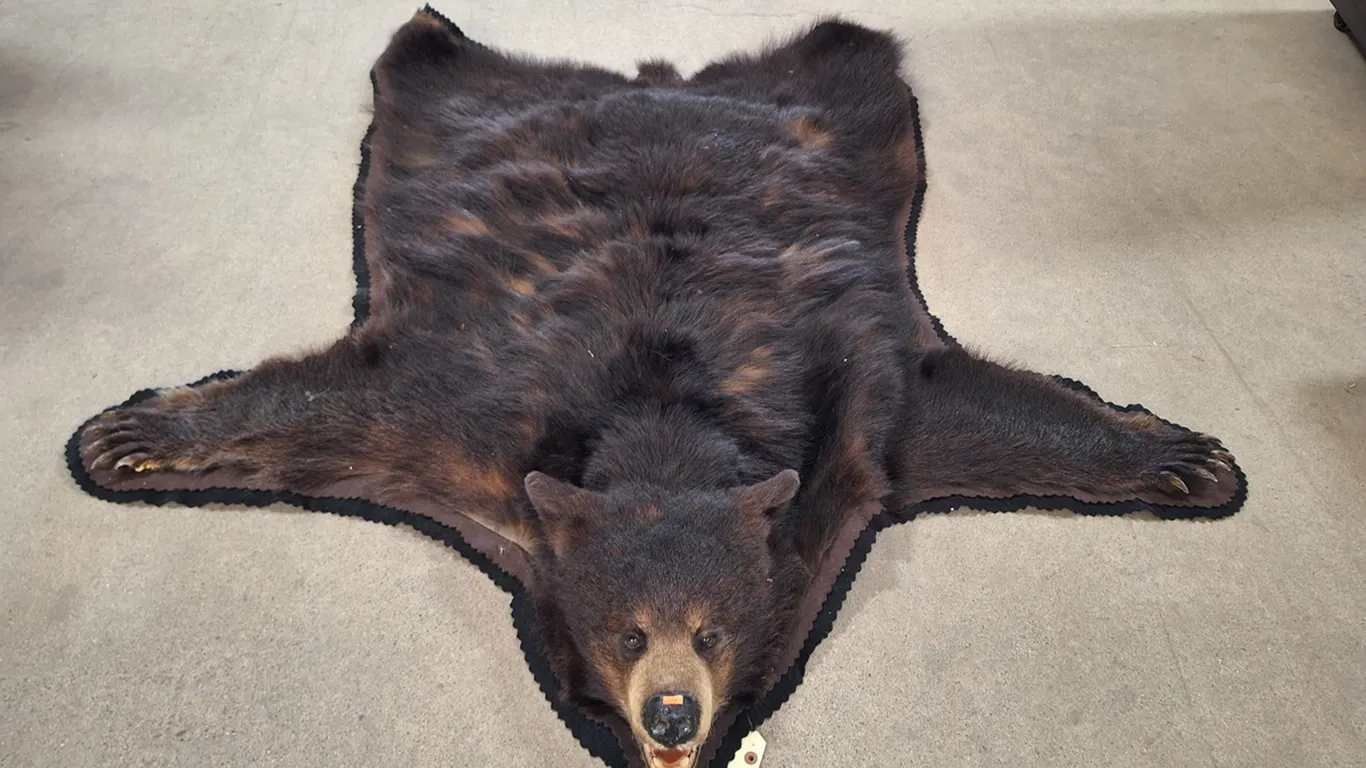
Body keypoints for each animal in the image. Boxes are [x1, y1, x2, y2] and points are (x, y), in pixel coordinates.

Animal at [78, 10, 1239, 768]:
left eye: (713, 630)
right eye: (625, 632)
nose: (672, 717)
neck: (668, 424)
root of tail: (654, 77)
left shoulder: (861, 406)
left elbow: (975, 411)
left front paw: (1189, 459)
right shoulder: (465, 408)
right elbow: (340, 401)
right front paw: (125, 433)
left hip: (857, 119)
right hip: (443, 104)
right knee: (424, 58)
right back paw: (435, 26)